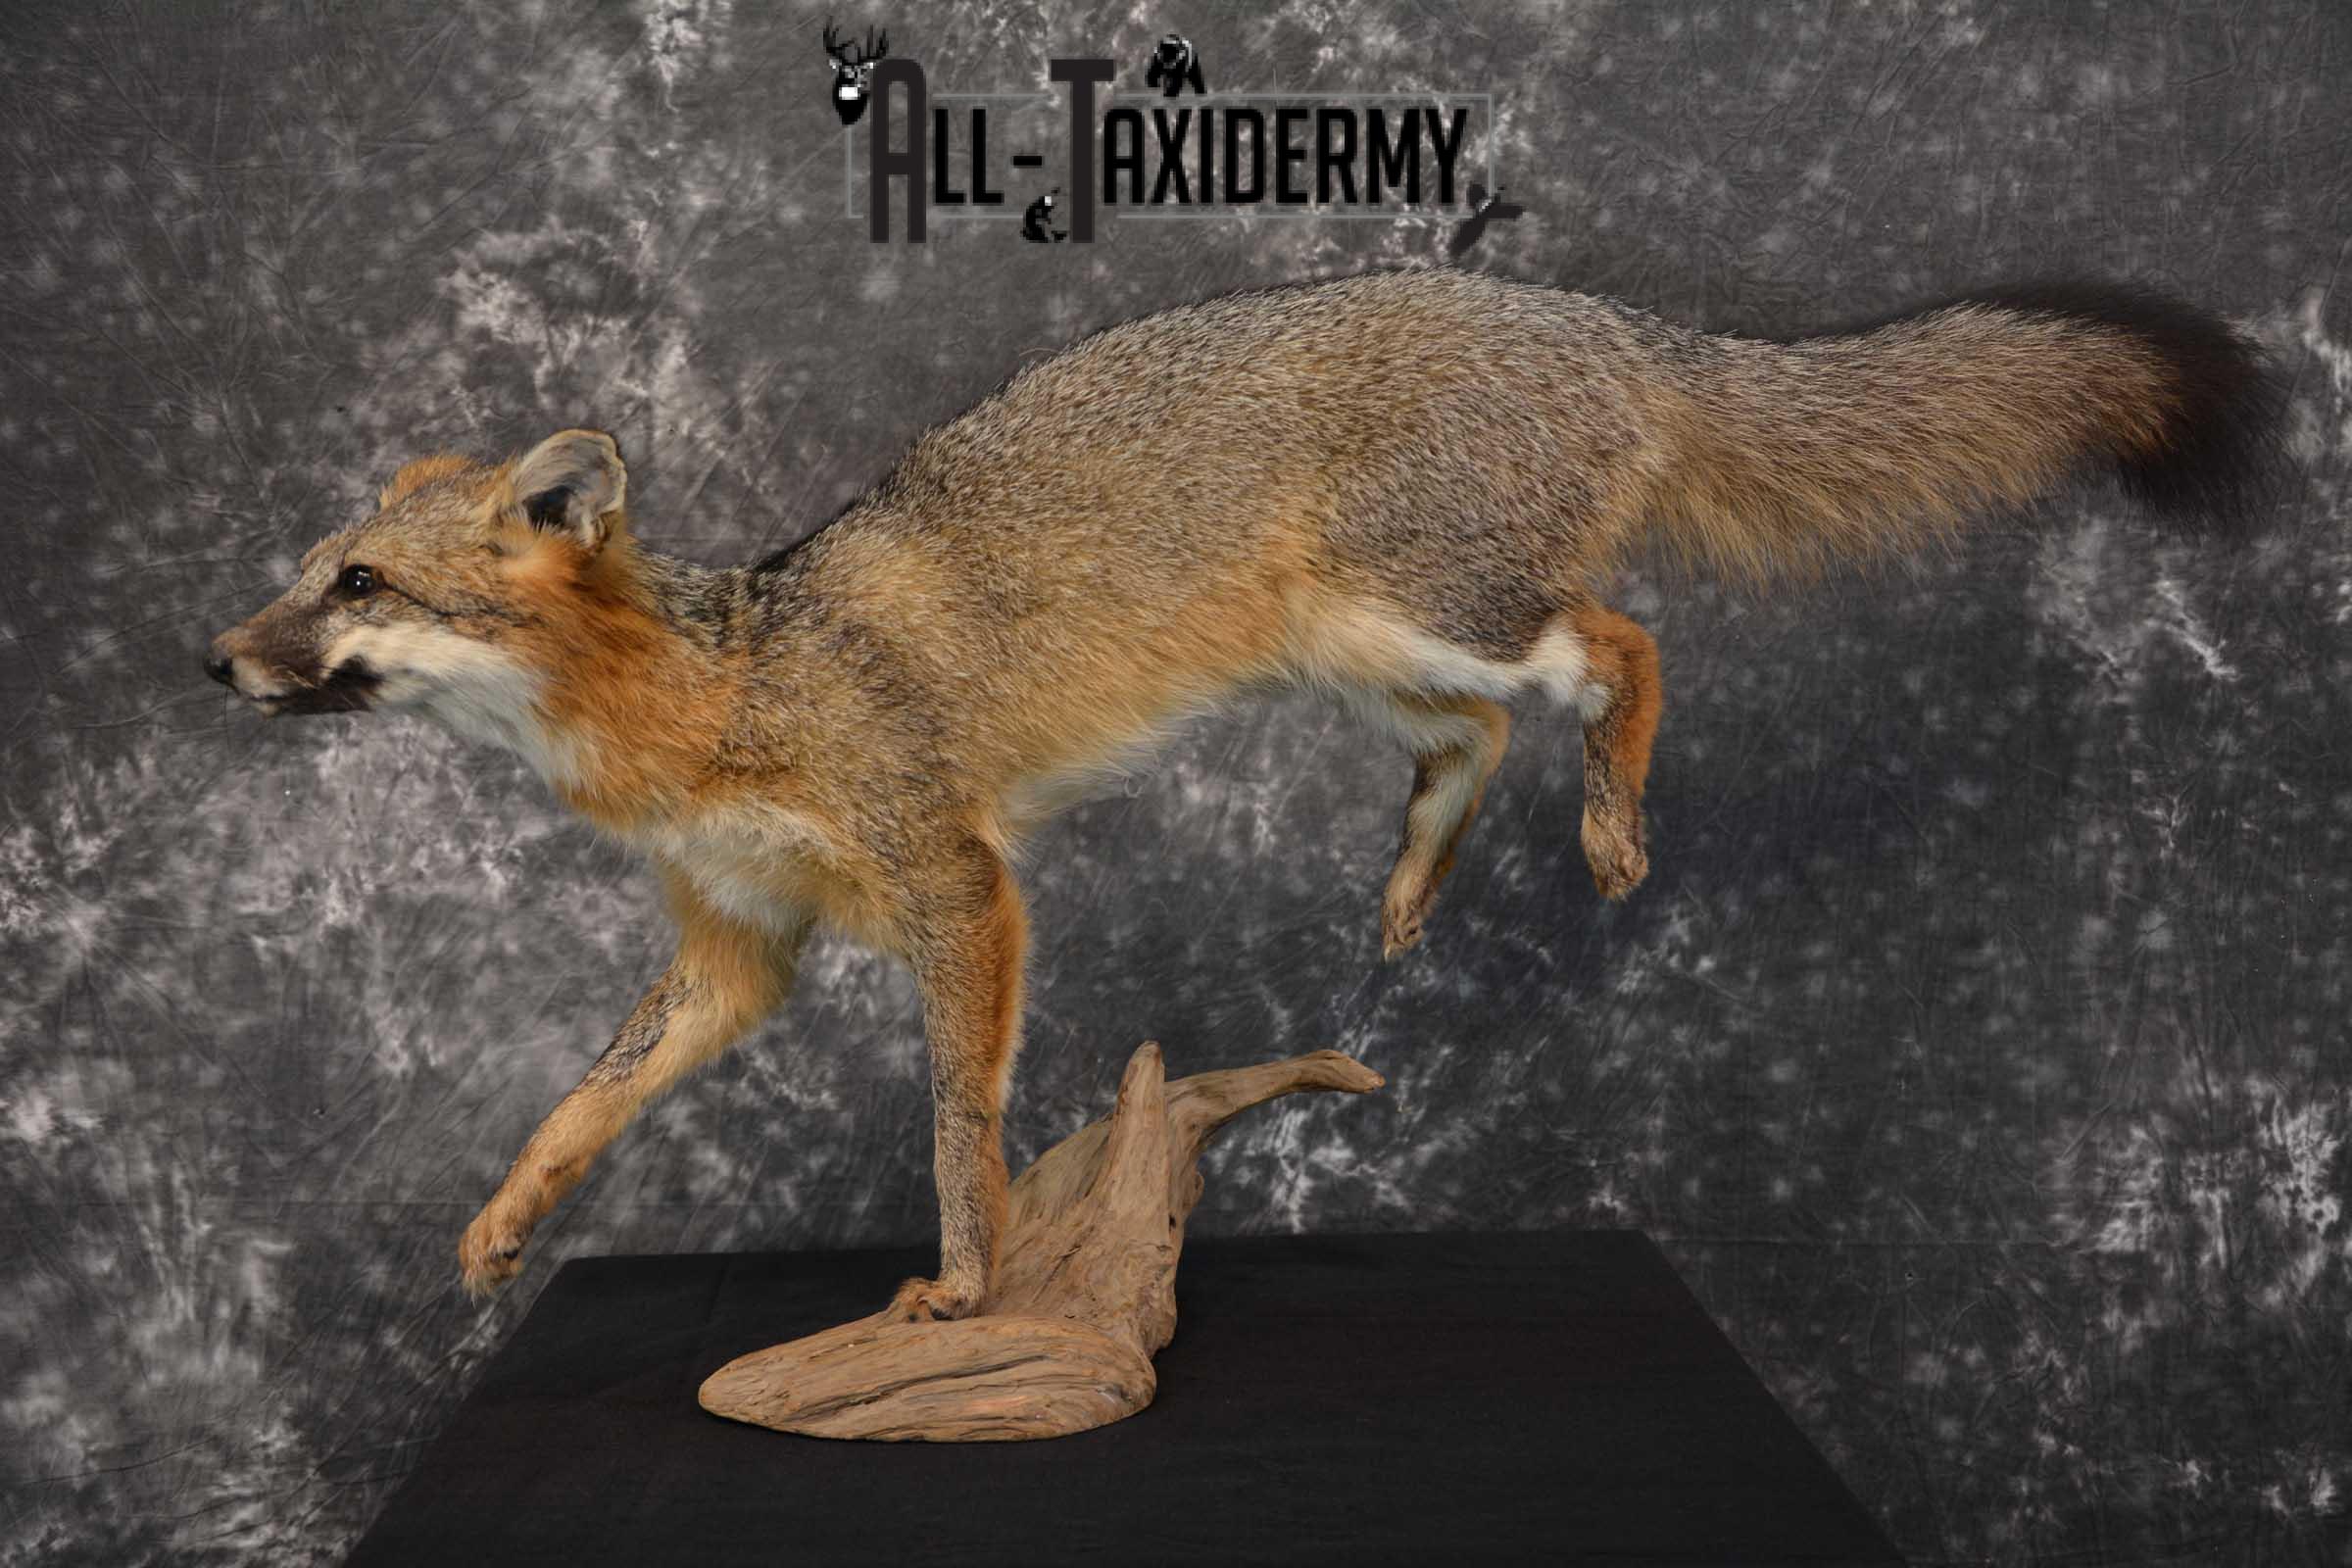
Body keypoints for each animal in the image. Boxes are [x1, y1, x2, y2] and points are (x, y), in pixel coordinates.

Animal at [206, 267, 2278, 1319]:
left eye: (357, 586)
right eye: (305, 574)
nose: (213, 660)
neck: (716, 683)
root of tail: (1593, 314)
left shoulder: (956, 883)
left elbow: (958, 1120)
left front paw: (965, 1290)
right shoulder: (742, 952)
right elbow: (586, 1099)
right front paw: (501, 1228)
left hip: (1421, 607)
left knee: (1623, 645)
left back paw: (1613, 831)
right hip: (1362, 650)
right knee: (1484, 738)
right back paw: (1412, 897)